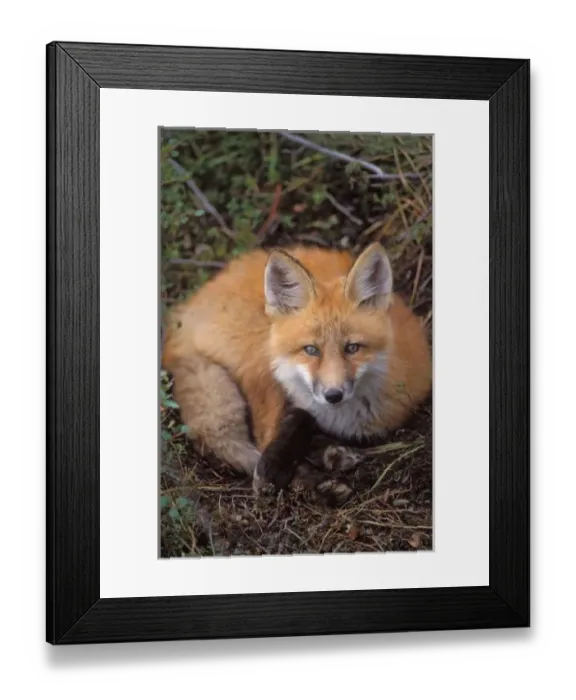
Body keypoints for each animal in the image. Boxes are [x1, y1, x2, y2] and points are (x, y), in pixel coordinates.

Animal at [162, 241, 432, 500]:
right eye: (311, 350)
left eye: (352, 348)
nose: (333, 395)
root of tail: (184, 311)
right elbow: (284, 429)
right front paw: (293, 473)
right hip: (261, 359)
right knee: (259, 439)